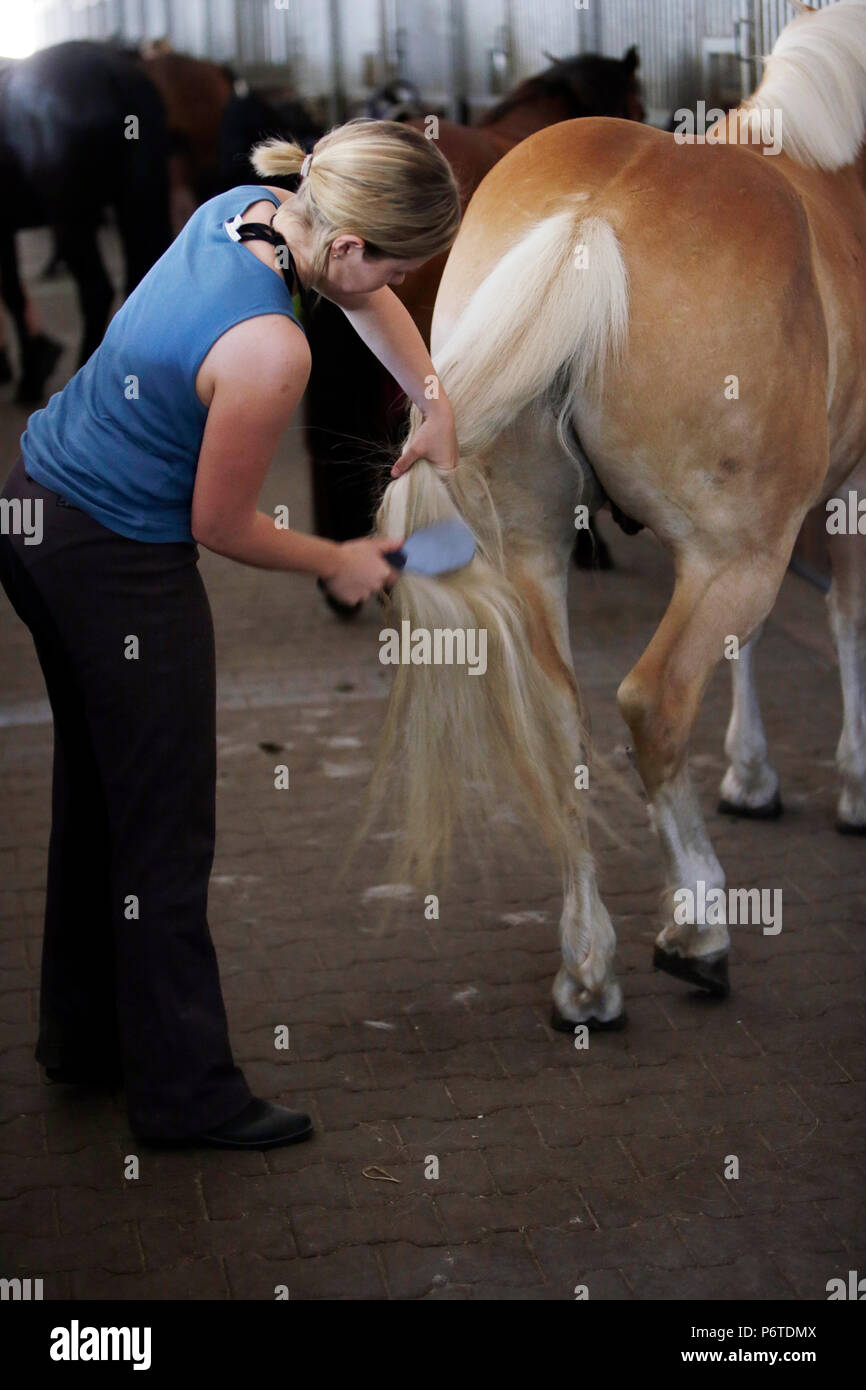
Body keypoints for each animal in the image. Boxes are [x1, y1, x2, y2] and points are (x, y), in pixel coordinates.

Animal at [0, 42, 170, 403]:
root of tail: (111, 71)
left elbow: (13, 296)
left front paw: (29, 379)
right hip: (138, 198)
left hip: (70, 218)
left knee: (95, 290)